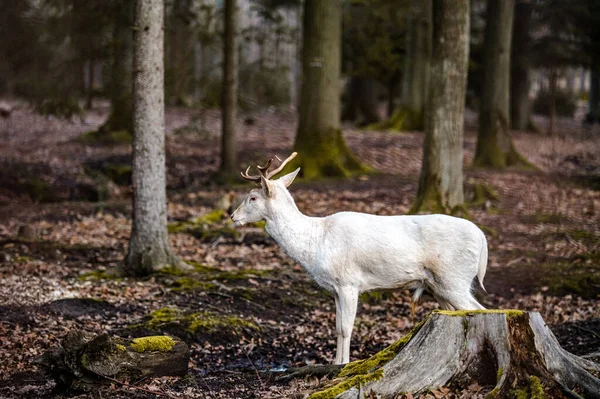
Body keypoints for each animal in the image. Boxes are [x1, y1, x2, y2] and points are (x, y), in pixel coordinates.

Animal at [230, 153, 488, 366]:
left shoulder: (349, 283)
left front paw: (343, 365)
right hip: (438, 286)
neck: (316, 243)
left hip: (454, 279)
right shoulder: (335, 289)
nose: (232, 216)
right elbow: (336, 328)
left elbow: (346, 328)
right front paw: (335, 363)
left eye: (252, 197)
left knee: (481, 309)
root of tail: (483, 240)